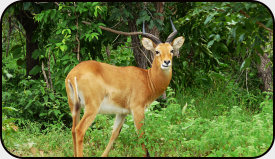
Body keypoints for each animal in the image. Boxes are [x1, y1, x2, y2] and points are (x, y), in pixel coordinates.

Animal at [65, 18, 184, 157]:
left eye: (171, 50)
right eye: (157, 51)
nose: (167, 62)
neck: (148, 79)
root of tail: (73, 74)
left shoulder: (122, 112)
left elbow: (114, 134)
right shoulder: (137, 109)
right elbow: (141, 136)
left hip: (75, 106)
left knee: (73, 130)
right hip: (92, 107)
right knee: (79, 130)